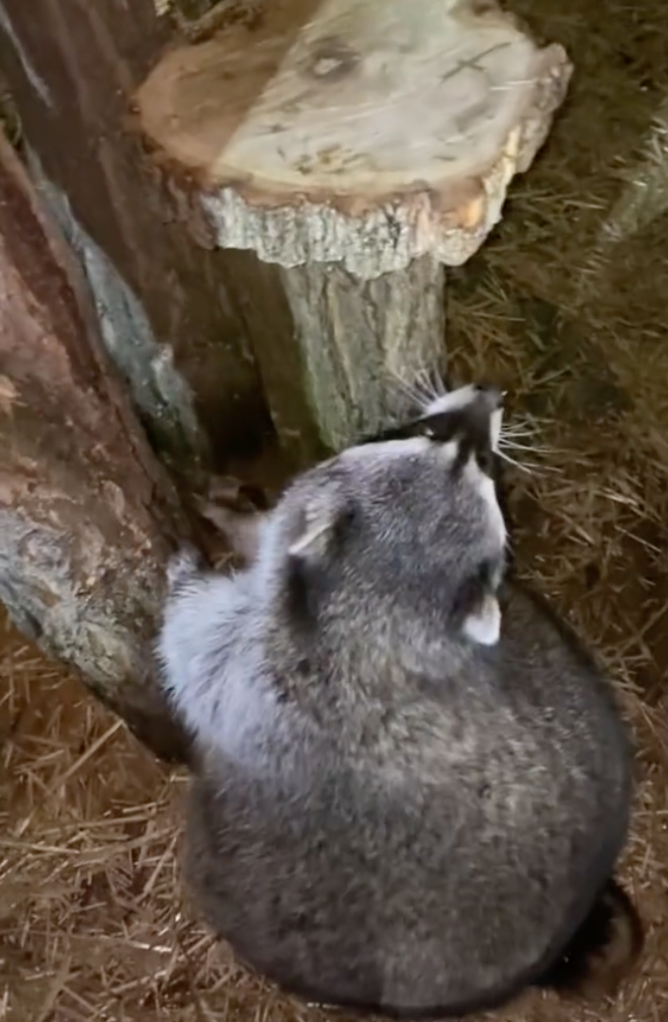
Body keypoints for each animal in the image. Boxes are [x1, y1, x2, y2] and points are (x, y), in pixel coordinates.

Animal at [158, 382, 645, 1013]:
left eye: (477, 457)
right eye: (445, 439)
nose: (490, 394)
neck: (379, 610)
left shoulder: (255, 667)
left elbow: (188, 647)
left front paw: (184, 571)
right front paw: (238, 519)